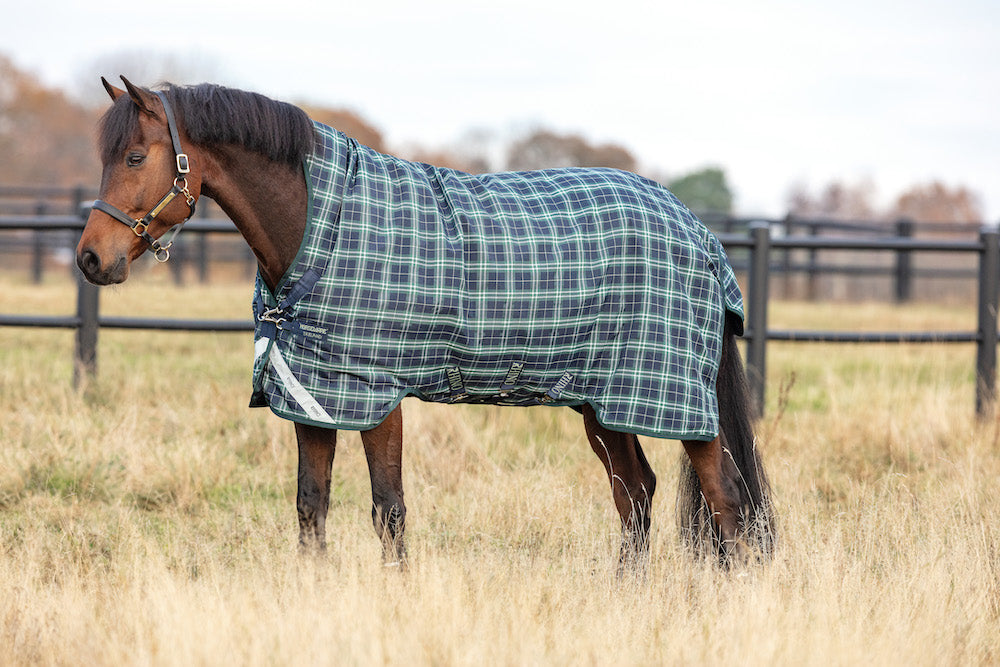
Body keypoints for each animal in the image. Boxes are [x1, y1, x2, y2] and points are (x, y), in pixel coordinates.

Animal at [76, 77, 775, 568]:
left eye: (134, 157)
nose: (90, 259)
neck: (322, 226)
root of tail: (701, 236)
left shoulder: (376, 394)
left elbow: (388, 508)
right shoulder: (315, 395)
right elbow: (311, 506)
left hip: (673, 397)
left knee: (725, 499)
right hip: (603, 400)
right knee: (636, 493)